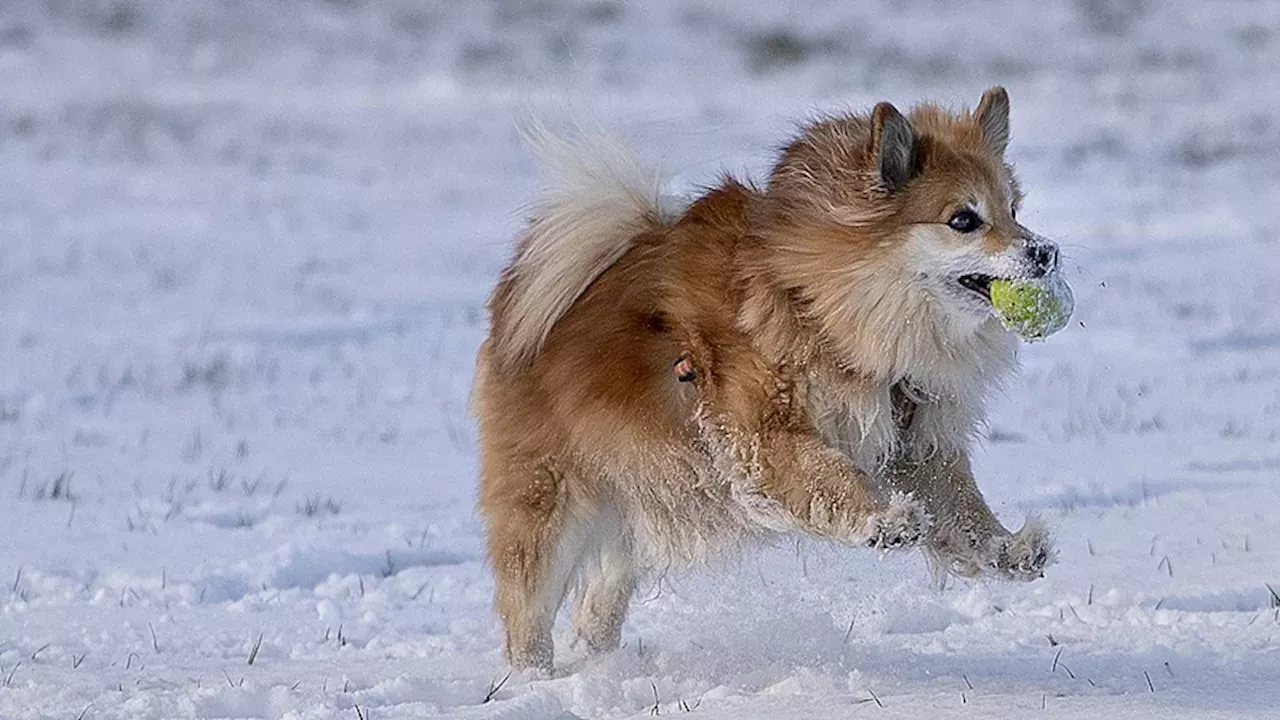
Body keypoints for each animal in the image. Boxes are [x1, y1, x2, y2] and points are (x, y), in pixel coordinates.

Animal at [476, 85, 1054, 671]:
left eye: (1013, 210)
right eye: (963, 220)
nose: (1044, 252)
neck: (823, 307)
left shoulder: (913, 440)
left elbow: (961, 505)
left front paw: (1007, 549)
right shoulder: (763, 433)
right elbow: (829, 474)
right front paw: (882, 520)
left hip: (637, 498)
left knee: (598, 602)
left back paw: (598, 663)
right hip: (550, 501)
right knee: (527, 606)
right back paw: (535, 677)